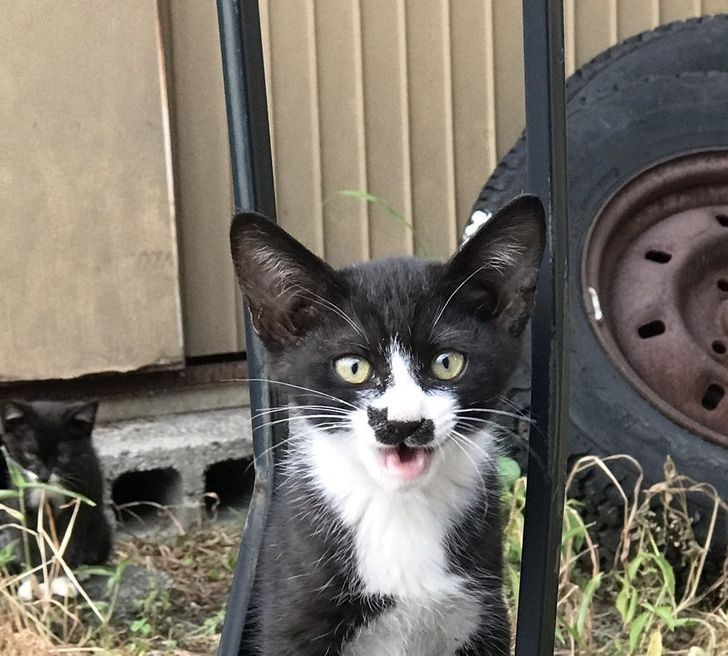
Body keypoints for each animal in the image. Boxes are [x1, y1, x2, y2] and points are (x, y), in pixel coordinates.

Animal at [0, 400, 111, 600]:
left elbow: (71, 539)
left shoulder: (79, 498)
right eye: (30, 454)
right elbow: (30, 541)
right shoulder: (21, 503)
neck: (47, 490)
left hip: (101, 528)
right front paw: (34, 584)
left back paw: (82, 571)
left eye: (62, 456)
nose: (43, 476)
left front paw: (62, 581)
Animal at [230, 196, 544, 656]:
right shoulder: (291, 620)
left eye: (447, 363)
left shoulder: (482, 614)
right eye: (353, 367)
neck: (399, 507)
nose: (403, 424)